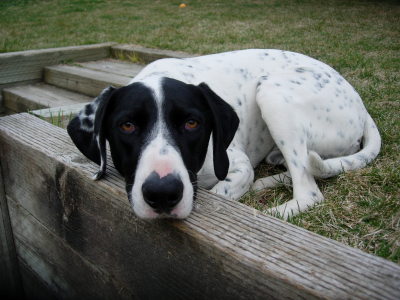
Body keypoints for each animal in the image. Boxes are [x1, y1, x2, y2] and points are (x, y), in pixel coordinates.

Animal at [68, 48, 382, 219]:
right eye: (127, 126)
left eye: (192, 124)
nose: (162, 192)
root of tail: (360, 102)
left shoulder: (237, 166)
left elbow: (223, 191)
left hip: (273, 92)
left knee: (308, 189)